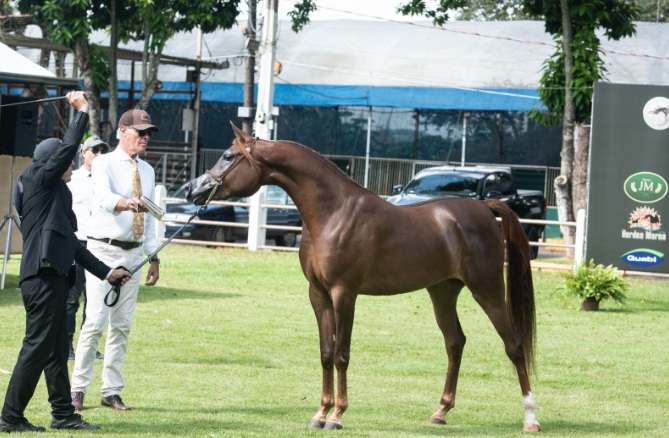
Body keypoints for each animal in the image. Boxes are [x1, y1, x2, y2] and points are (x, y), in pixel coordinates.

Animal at [185, 123, 540, 432]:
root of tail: (485, 209)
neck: (334, 213)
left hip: (487, 289)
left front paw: (337, 416)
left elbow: (342, 354)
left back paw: (531, 418)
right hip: (442, 292)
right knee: (455, 344)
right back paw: (440, 412)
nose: (191, 189)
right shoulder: (318, 294)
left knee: (514, 344)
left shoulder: (345, 293)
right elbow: (326, 353)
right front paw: (320, 413)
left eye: (229, 156)